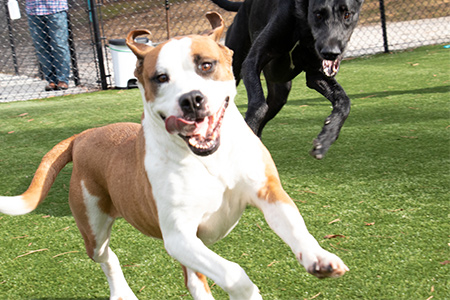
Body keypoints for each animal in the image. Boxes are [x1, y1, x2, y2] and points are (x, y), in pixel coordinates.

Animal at [0, 12, 348, 300]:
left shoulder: (269, 193)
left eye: (206, 65)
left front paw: (319, 257)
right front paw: (247, 293)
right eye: (160, 78)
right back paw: (122, 292)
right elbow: (234, 272)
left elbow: (296, 228)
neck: (208, 159)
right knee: (109, 257)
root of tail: (82, 136)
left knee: (193, 280)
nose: (191, 99)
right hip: (94, 227)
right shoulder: (179, 235)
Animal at [213, 0, 364, 159]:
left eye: (347, 14)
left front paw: (326, 138)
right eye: (318, 14)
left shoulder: (315, 75)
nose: (331, 53)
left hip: (279, 95)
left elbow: (344, 101)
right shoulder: (251, 62)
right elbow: (259, 106)